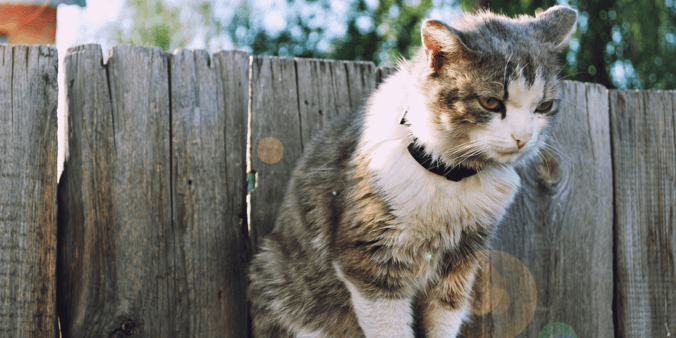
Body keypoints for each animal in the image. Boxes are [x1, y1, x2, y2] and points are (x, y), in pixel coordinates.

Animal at [248, 5, 576, 338]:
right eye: (490, 102)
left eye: (544, 106)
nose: (524, 138)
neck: (449, 175)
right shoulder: (371, 261)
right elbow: (389, 325)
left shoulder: (460, 264)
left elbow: (444, 318)